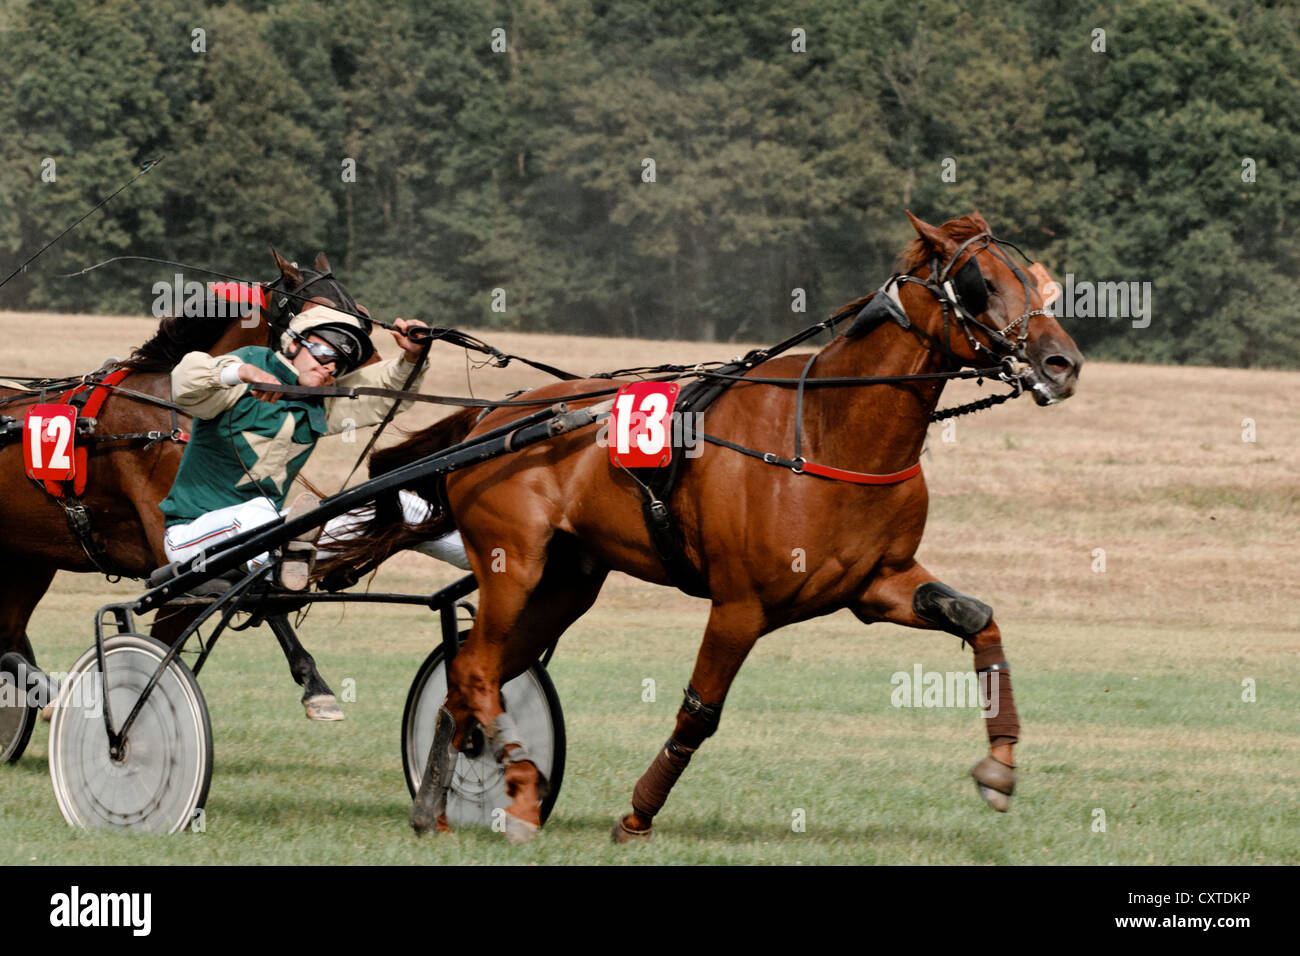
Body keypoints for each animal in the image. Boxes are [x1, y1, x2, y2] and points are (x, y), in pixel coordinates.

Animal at [0, 250, 365, 760]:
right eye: (317, 315)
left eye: (357, 311)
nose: (343, 375)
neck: (177, 411)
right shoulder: (172, 547)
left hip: (28, 560)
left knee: (7, 639)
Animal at [327, 211, 1084, 843]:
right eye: (981, 282)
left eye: (1037, 282)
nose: (1063, 363)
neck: (826, 431)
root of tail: (493, 416)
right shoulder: (740, 605)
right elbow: (700, 710)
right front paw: (637, 816)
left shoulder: (877, 586)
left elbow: (979, 620)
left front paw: (1000, 766)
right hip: (513, 563)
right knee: (478, 668)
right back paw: (515, 791)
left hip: (564, 583)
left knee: (463, 680)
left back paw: (435, 809)